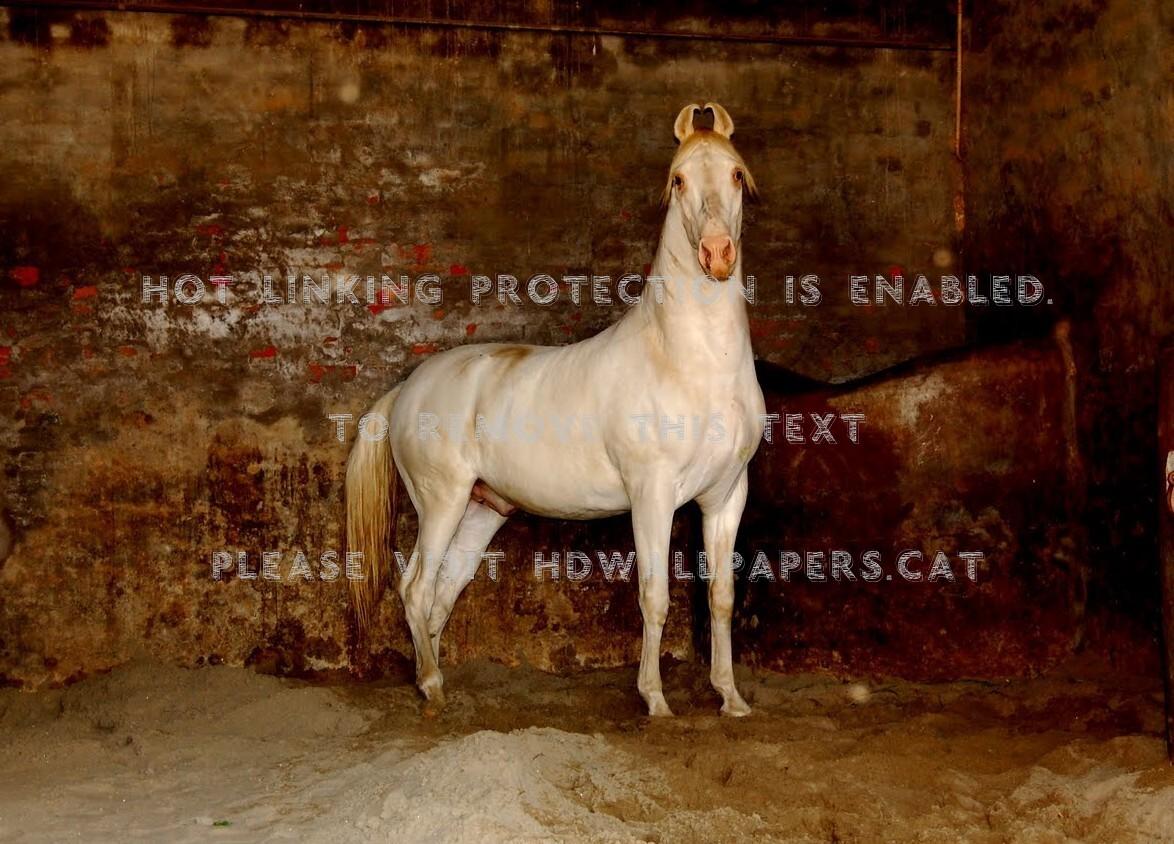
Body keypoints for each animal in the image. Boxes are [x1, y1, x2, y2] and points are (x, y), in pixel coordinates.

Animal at [346, 103, 764, 717]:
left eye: (735, 175)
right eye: (679, 180)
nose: (716, 254)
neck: (689, 363)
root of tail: (405, 391)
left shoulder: (726, 496)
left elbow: (722, 598)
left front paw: (730, 697)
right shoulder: (653, 496)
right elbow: (655, 598)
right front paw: (655, 700)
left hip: (481, 511)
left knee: (443, 594)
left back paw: (435, 681)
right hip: (441, 502)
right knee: (416, 589)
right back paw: (432, 688)